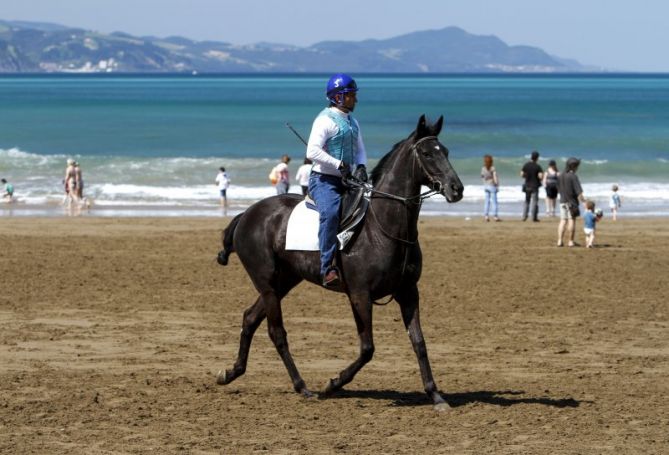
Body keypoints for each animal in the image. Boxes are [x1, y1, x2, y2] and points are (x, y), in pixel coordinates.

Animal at [217, 116, 462, 412]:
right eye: (427, 153)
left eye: (445, 151)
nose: (457, 189)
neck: (383, 228)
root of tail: (247, 214)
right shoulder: (359, 295)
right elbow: (367, 349)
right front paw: (332, 384)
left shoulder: (408, 292)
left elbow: (419, 342)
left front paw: (435, 395)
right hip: (266, 283)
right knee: (277, 332)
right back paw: (303, 386)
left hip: (283, 281)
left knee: (250, 318)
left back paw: (232, 372)